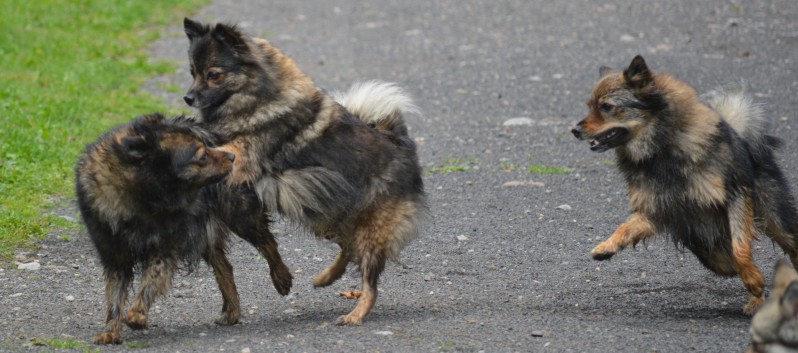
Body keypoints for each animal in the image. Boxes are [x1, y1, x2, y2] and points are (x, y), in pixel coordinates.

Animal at [75, 113, 292, 344]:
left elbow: (150, 281)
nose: (232, 156)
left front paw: (136, 315)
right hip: (204, 235)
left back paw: (281, 278)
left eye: (207, 147)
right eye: (202, 155)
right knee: (224, 267)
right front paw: (111, 329)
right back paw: (231, 311)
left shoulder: (164, 249)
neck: (141, 198)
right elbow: (114, 297)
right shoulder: (115, 256)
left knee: (267, 242)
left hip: (239, 213)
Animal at [184, 17, 428, 324]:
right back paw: (326, 277)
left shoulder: (244, 154)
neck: (259, 98)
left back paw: (355, 314)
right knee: (349, 249)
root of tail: (403, 145)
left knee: (369, 282)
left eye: (213, 74)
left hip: (368, 227)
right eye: (192, 72)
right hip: (326, 214)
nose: (187, 97)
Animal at [572, 55, 798, 314]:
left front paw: (753, 279)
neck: (660, 148)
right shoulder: (657, 209)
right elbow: (626, 227)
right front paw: (607, 247)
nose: (574, 130)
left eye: (606, 107)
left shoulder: (735, 196)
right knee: (723, 261)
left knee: (787, 244)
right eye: (590, 105)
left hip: (774, 215)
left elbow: (740, 248)